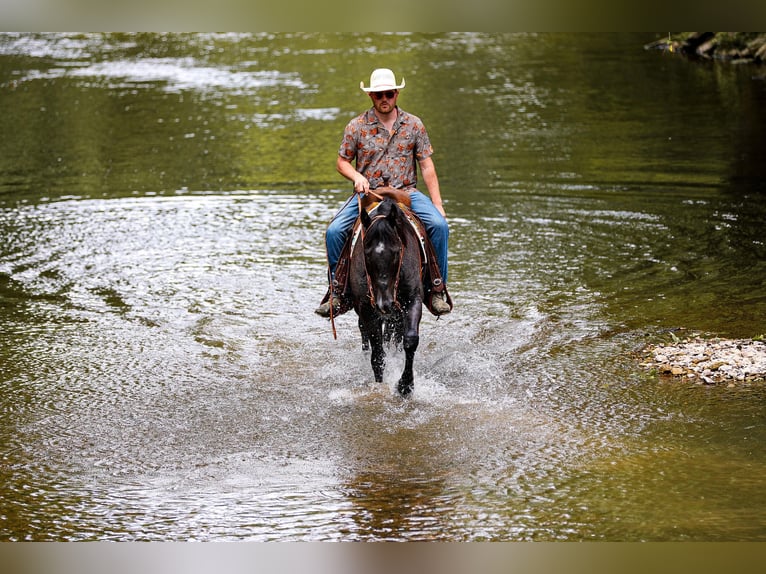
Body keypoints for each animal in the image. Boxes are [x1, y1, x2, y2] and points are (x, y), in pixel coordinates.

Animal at [348, 198, 424, 396]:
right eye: (366, 253)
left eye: (397, 251)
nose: (384, 303)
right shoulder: (367, 308)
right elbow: (377, 355)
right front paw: (380, 386)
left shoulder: (413, 299)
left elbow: (410, 340)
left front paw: (405, 385)